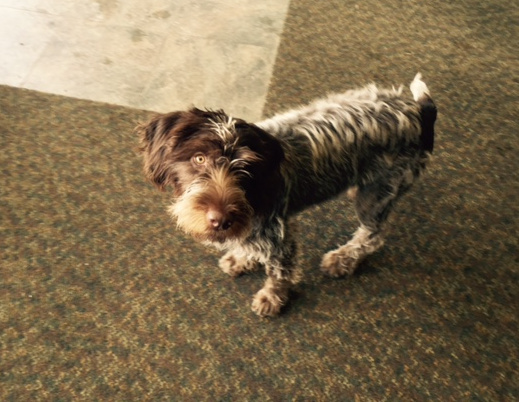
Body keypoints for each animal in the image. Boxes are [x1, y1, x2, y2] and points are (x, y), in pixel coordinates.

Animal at [139, 73, 438, 318]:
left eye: (246, 169)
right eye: (199, 158)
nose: (220, 220)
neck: (254, 196)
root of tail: (419, 110)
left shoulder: (279, 237)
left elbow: (278, 274)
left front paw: (272, 299)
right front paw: (242, 258)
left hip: (378, 193)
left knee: (372, 235)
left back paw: (343, 259)